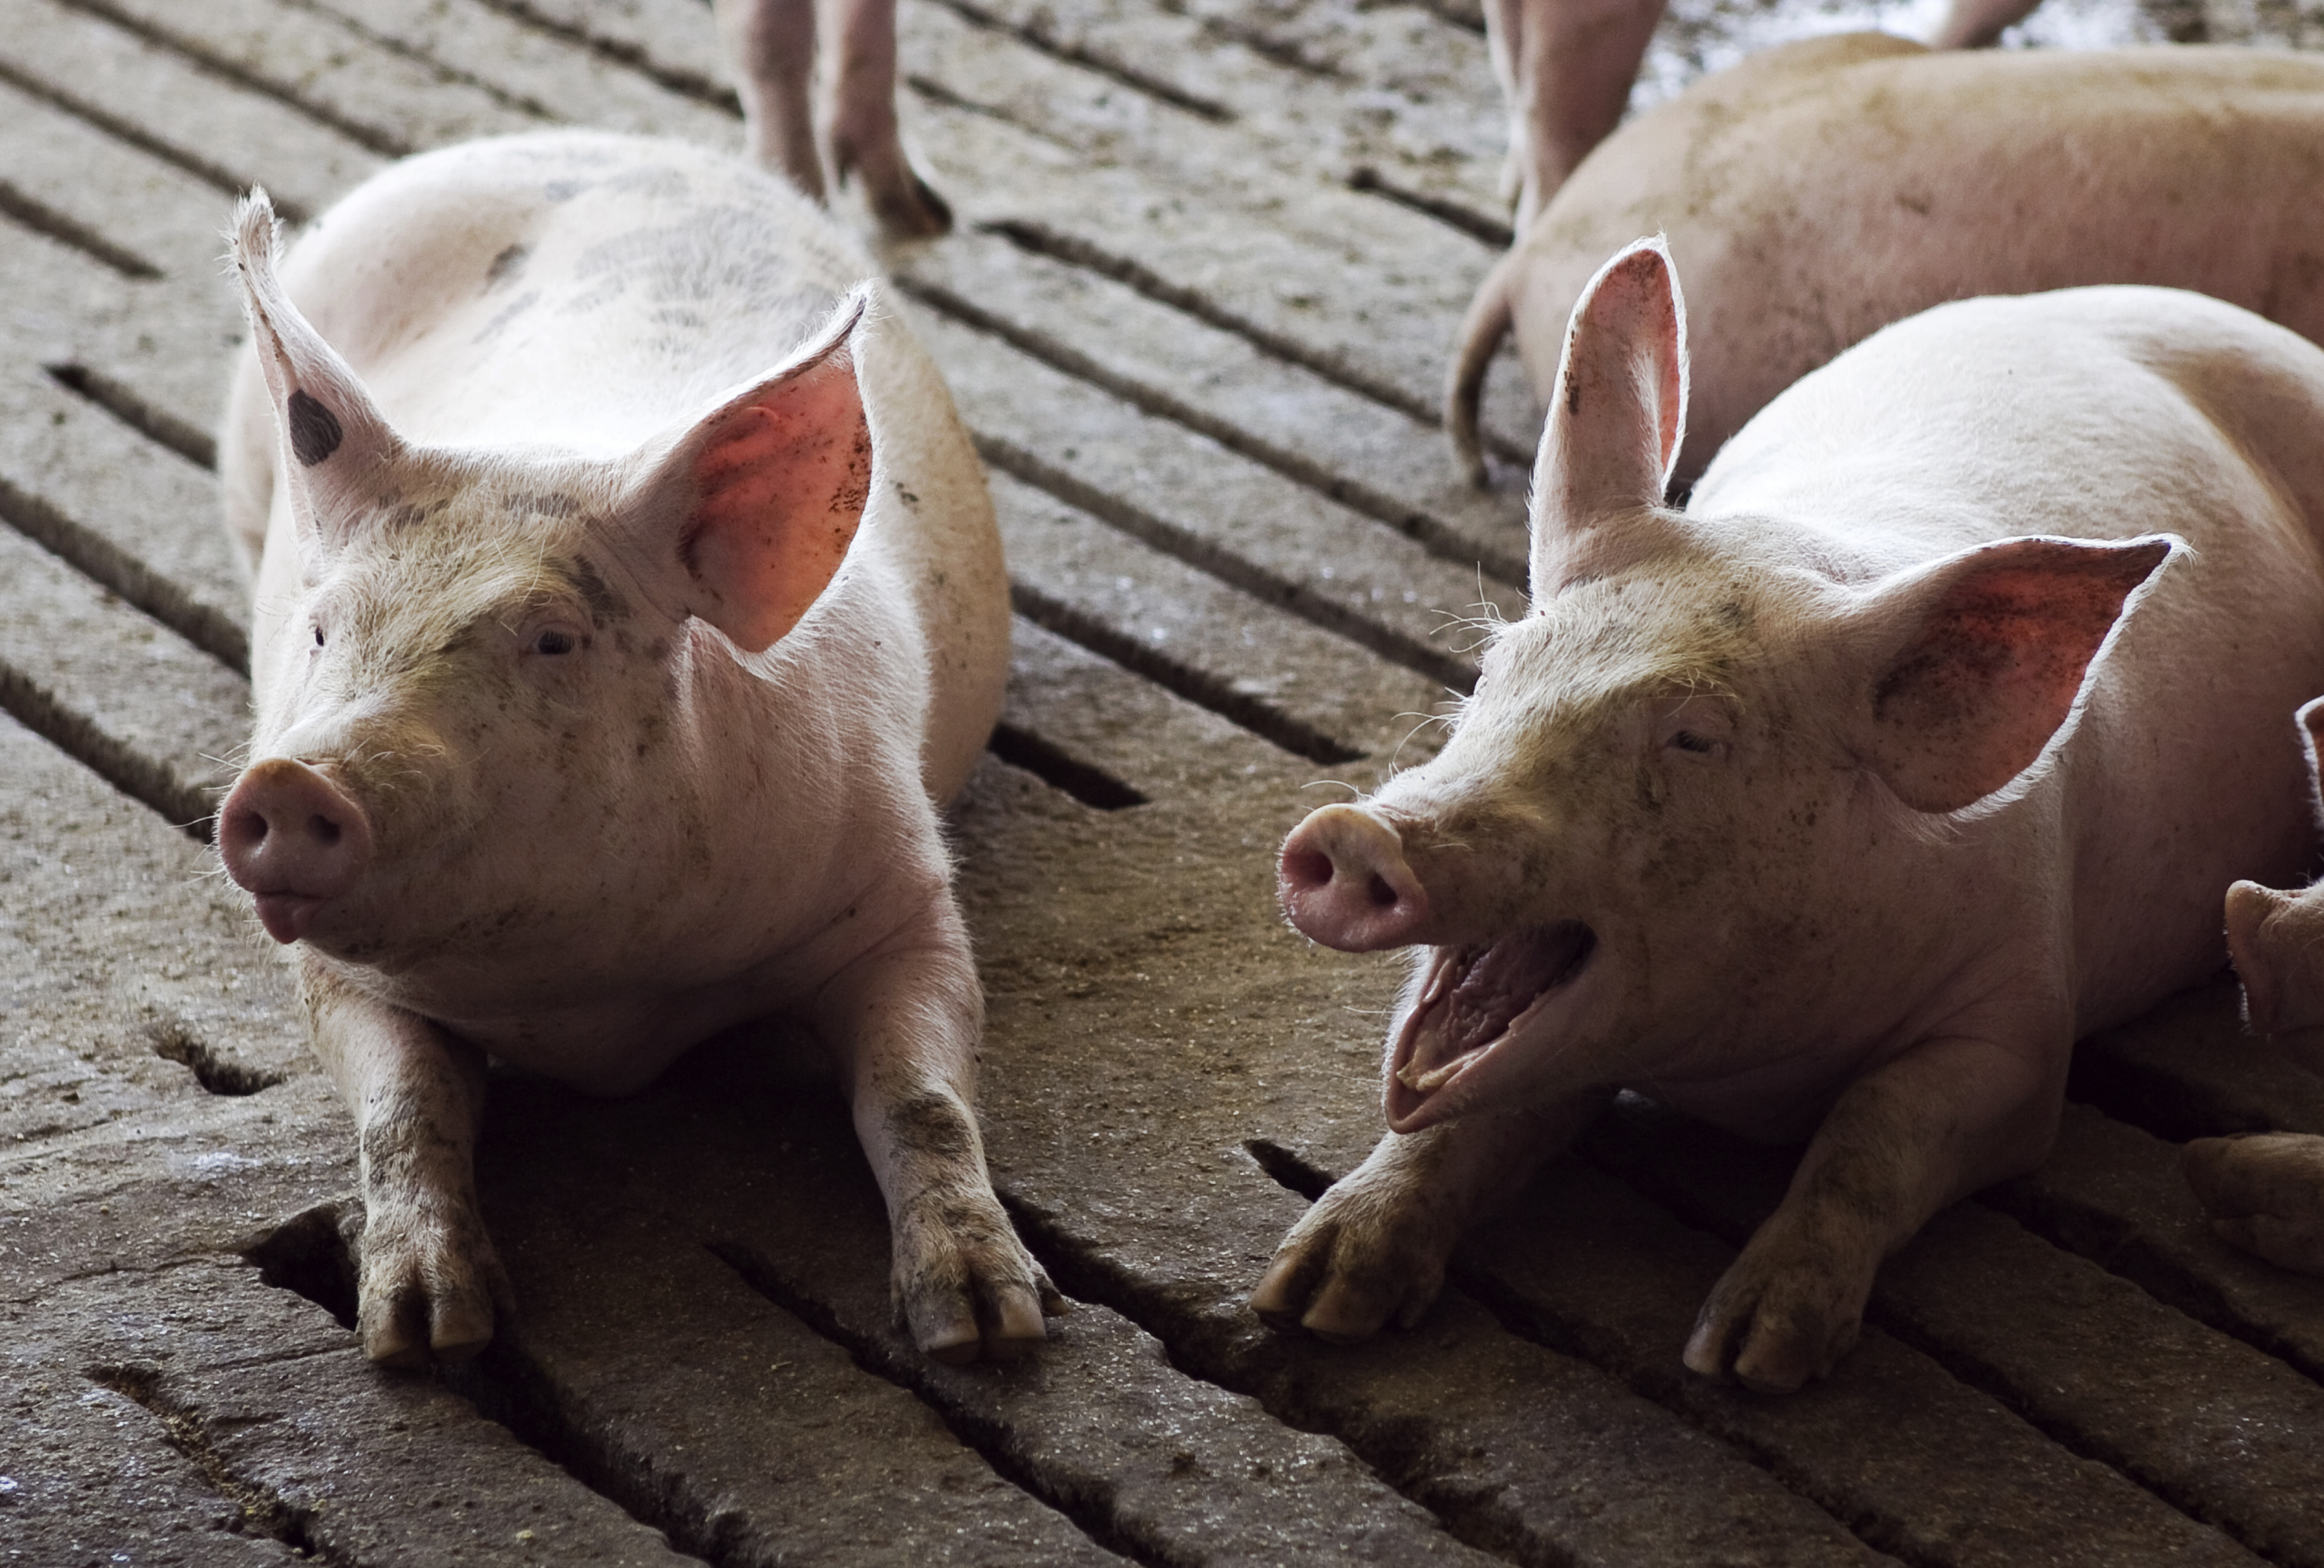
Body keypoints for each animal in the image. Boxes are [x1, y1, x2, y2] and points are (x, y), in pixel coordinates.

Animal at [212, 130, 1056, 1368]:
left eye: (554, 638)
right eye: (322, 632)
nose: (287, 780)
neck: (594, 996)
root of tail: (584, 139)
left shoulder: (898, 888)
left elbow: (919, 1097)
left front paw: (988, 1326)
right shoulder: (332, 980)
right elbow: (405, 1112)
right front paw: (425, 1336)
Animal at [1255, 237, 2324, 1391]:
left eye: (1693, 738)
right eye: (1497, 670)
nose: (1357, 835)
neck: (1745, 1070)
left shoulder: (2022, 1019)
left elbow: (1875, 1131)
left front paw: (1744, 1356)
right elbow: (1459, 1112)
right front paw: (1305, 1295)